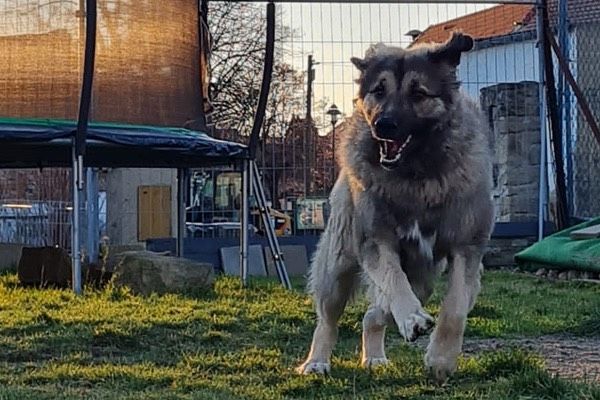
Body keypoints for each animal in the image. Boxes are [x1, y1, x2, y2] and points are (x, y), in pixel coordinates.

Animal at [298, 32, 494, 382]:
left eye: (418, 93)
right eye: (379, 90)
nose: (384, 125)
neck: (415, 175)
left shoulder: (467, 249)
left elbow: (456, 307)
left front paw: (441, 359)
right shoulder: (375, 241)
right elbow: (392, 280)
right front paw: (413, 319)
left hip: (424, 277)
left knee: (375, 314)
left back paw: (375, 355)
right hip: (338, 265)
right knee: (329, 317)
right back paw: (317, 361)